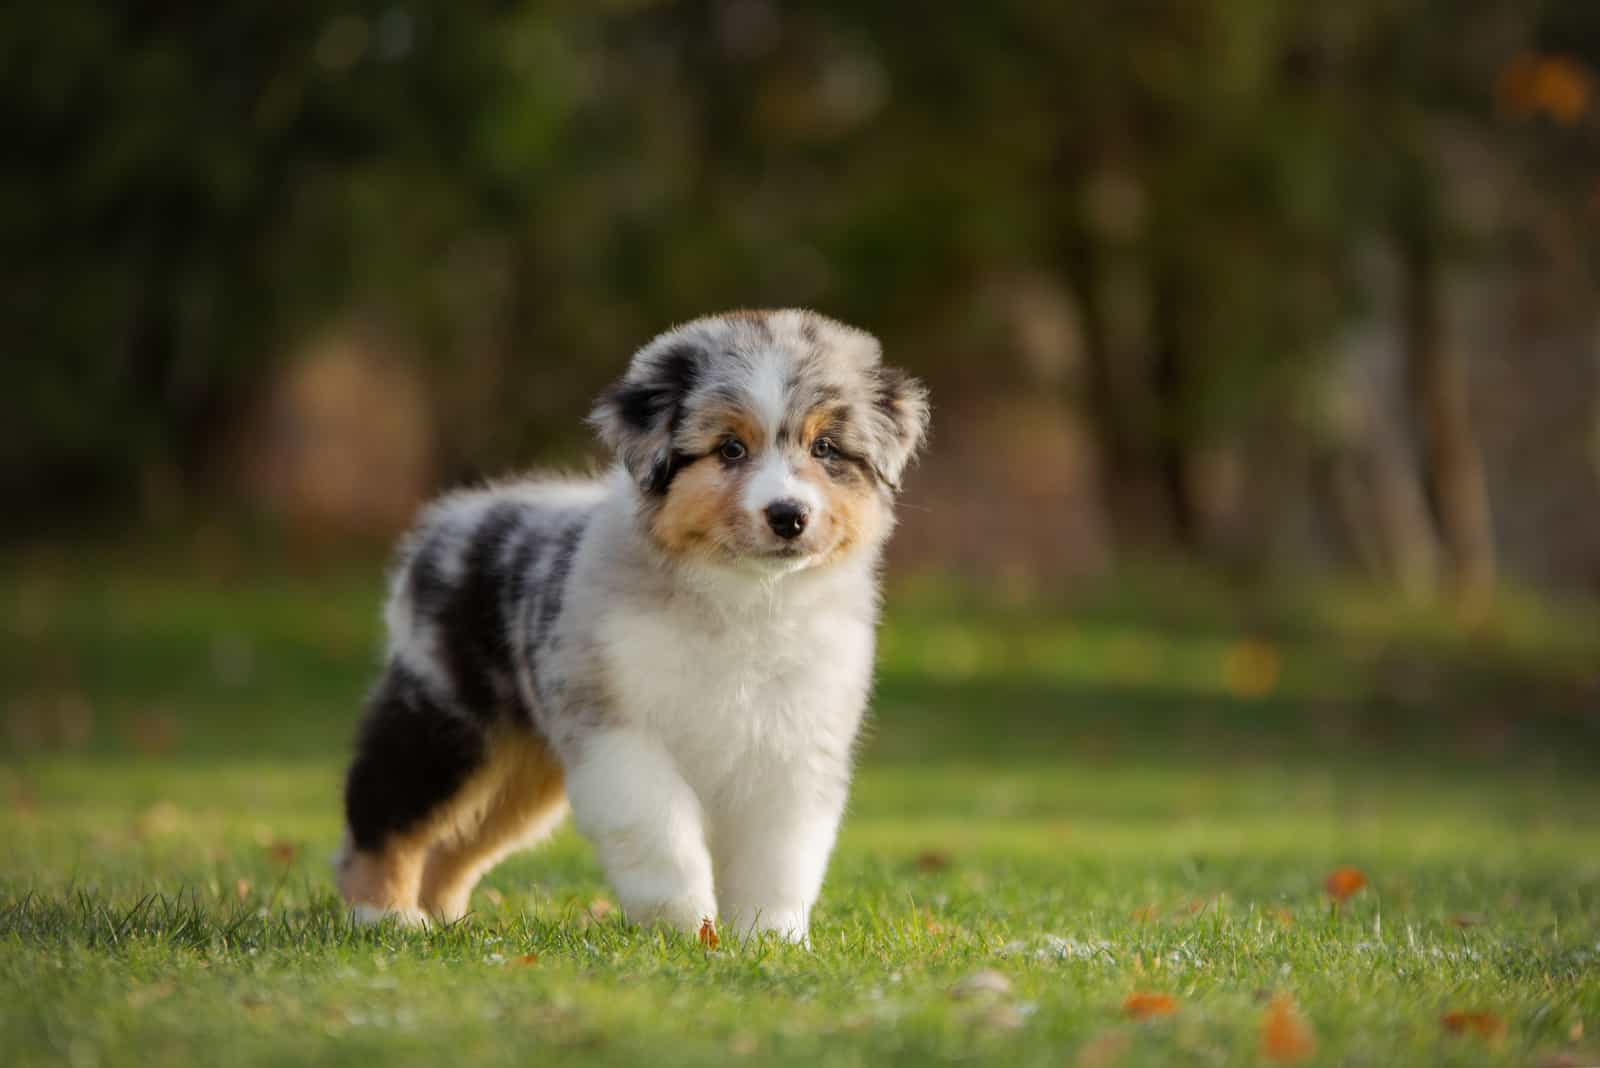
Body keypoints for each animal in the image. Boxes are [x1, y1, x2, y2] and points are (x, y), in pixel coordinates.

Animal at [340, 308, 928, 940]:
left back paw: (447, 920)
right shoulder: (618, 731)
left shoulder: (794, 745)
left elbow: (779, 857)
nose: (788, 516)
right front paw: (686, 928)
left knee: (461, 842)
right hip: (448, 721)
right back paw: (384, 914)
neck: (745, 596)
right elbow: (662, 833)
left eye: (825, 448)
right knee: (387, 811)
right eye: (730, 449)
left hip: (527, 766)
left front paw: (770, 939)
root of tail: (446, 521)